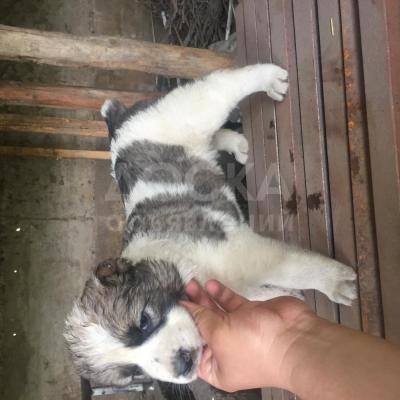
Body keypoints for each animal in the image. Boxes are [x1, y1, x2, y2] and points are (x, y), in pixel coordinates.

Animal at [64, 64, 357, 387]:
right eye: (133, 373)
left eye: (143, 322)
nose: (181, 365)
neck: (169, 264)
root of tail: (118, 123)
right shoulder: (238, 284)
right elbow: (259, 293)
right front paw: (287, 297)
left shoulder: (245, 256)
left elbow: (298, 268)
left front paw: (334, 282)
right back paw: (236, 143)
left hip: (188, 110)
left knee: (220, 84)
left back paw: (270, 79)